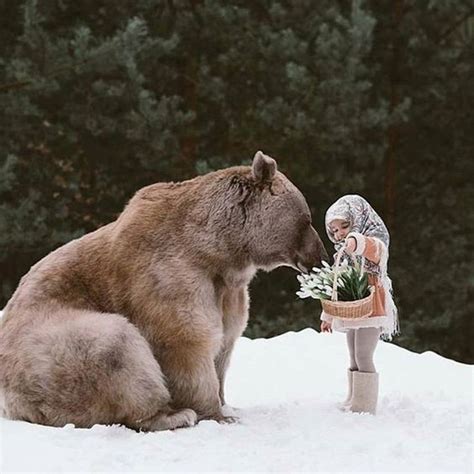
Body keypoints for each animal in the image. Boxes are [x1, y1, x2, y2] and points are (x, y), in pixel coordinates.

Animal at [0, 151, 326, 430]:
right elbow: (186, 339)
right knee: (116, 347)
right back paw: (171, 415)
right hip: (51, 346)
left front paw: (227, 404)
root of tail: (12, 406)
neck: (218, 252)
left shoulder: (228, 292)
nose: (319, 256)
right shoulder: (171, 274)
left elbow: (226, 341)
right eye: (307, 219)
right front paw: (217, 414)